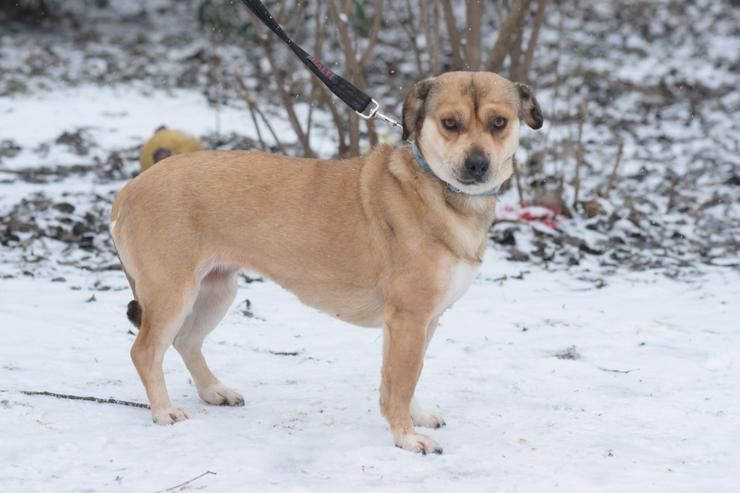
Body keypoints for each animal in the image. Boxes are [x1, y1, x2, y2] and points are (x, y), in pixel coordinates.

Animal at [112, 71, 548, 452]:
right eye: (450, 123)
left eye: (498, 122)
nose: (477, 165)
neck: (437, 191)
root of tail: (129, 189)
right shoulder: (408, 318)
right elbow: (403, 380)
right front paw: (406, 437)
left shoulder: (423, 321)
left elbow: (405, 376)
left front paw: (413, 416)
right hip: (173, 293)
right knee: (145, 351)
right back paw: (164, 411)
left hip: (217, 290)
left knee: (186, 341)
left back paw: (212, 390)